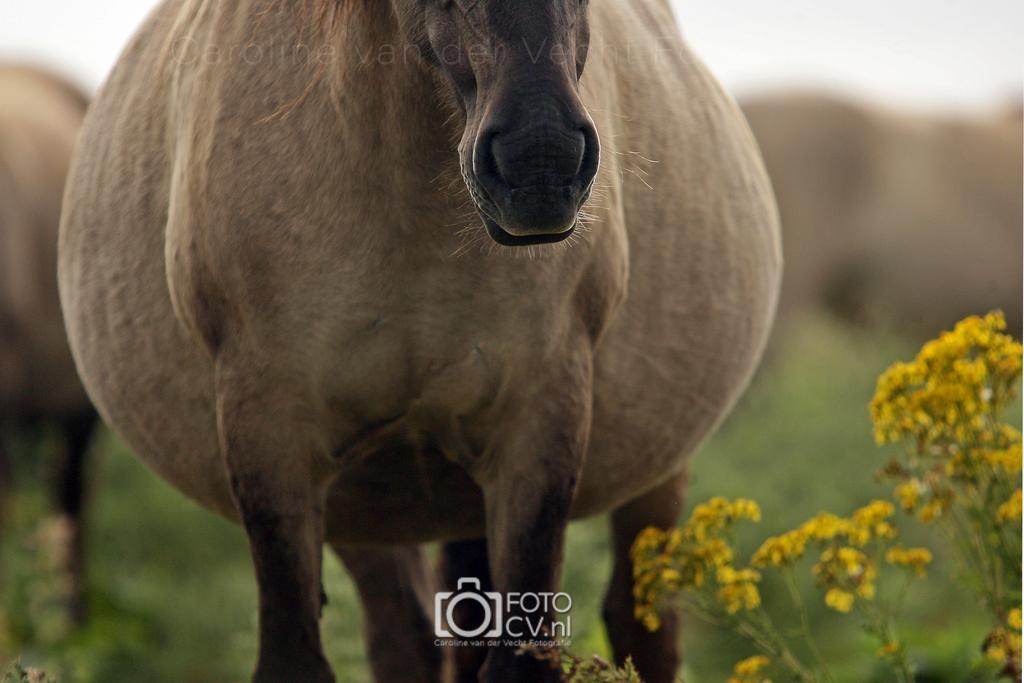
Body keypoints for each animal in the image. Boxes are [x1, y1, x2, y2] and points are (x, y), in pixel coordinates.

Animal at [59, 2, 781, 681]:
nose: (540, 163)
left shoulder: (539, 427)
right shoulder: (269, 435)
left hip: (649, 477)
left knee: (638, 625)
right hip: (372, 504)